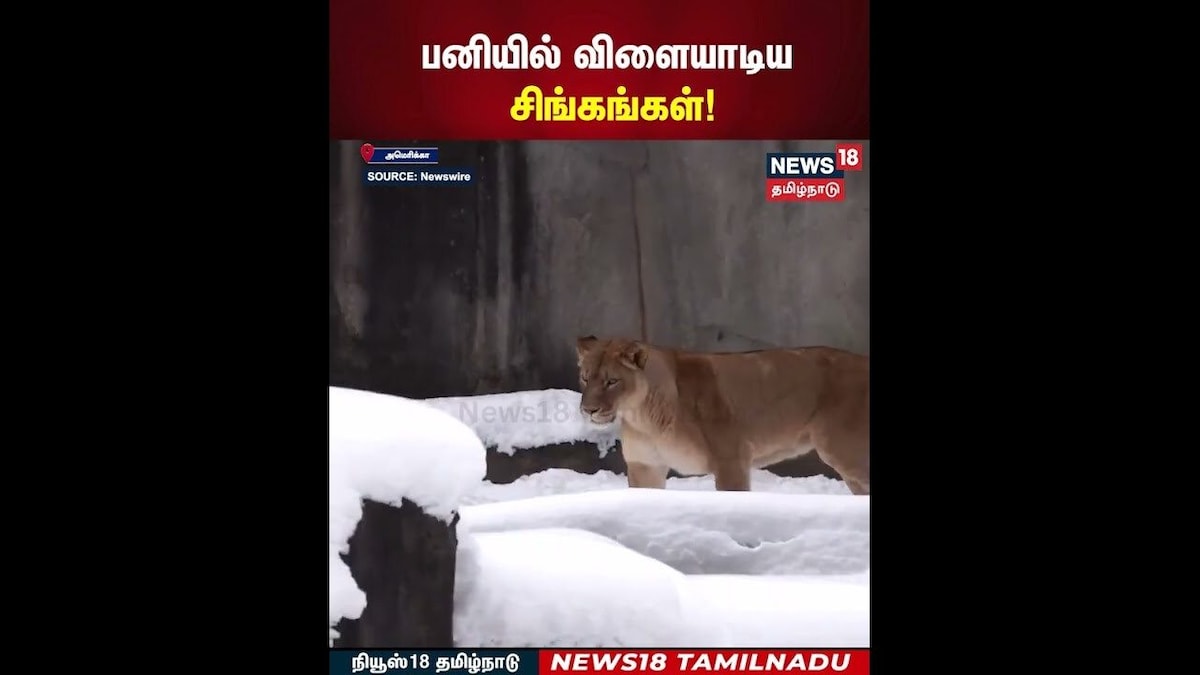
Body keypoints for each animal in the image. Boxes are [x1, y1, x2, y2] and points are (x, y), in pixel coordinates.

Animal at [575, 335, 869, 494]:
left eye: (612, 381)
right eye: (585, 378)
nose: (588, 410)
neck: (644, 418)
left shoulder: (731, 461)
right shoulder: (644, 467)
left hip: (847, 452)